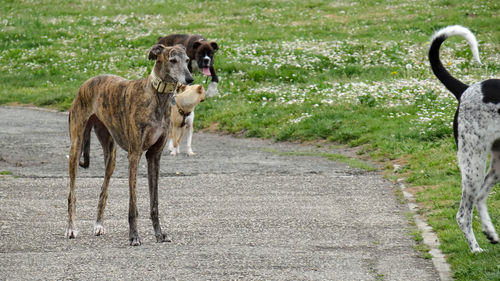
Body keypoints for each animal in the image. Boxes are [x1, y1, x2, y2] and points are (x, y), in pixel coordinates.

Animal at [428, 24, 498, 252]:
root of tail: (465, 90)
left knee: (480, 198)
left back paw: (490, 232)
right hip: (473, 165)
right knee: (463, 214)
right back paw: (475, 248)